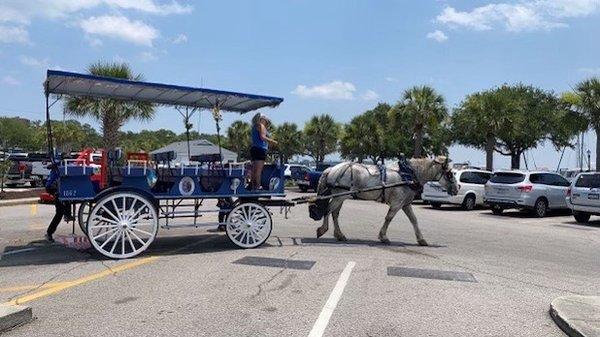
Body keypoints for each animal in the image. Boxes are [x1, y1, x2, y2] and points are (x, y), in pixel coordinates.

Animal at [312, 156, 458, 245]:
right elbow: (389, 218)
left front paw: (421, 240)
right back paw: (323, 229)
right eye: (450, 174)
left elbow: (414, 220)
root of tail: (332, 168)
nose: (457, 189)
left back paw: (339, 235)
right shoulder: (397, 203)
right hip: (339, 196)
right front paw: (383, 237)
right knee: (328, 210)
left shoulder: (405, 204)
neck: (407, 174)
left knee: (335, 213)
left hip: (340, 197)